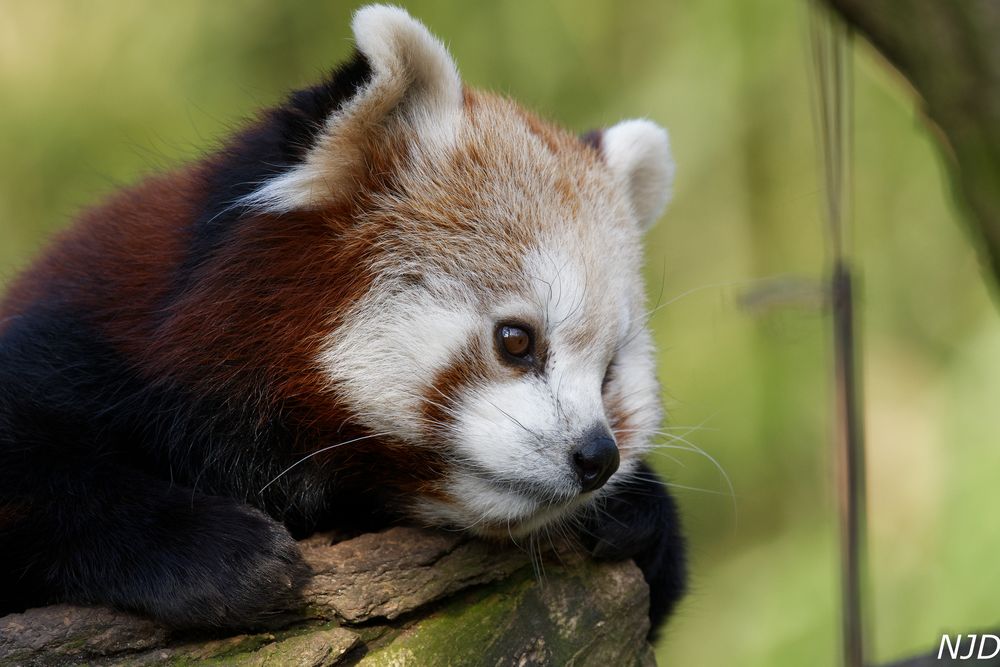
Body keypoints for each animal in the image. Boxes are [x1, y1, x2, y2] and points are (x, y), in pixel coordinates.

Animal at [0, 3, 684, 632]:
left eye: (609, 375)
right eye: (516, 341)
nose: (597, 458)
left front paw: (642, 509)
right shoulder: (86, 339)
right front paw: (218, 555)